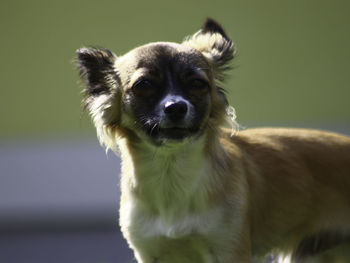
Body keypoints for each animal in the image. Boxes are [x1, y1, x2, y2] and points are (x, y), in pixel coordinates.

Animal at [76, 19, 350, 263]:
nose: (176, 107)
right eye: (144, 85)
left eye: (197, 84)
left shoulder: (230, 250)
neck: (171, 175)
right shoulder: (151, 253)